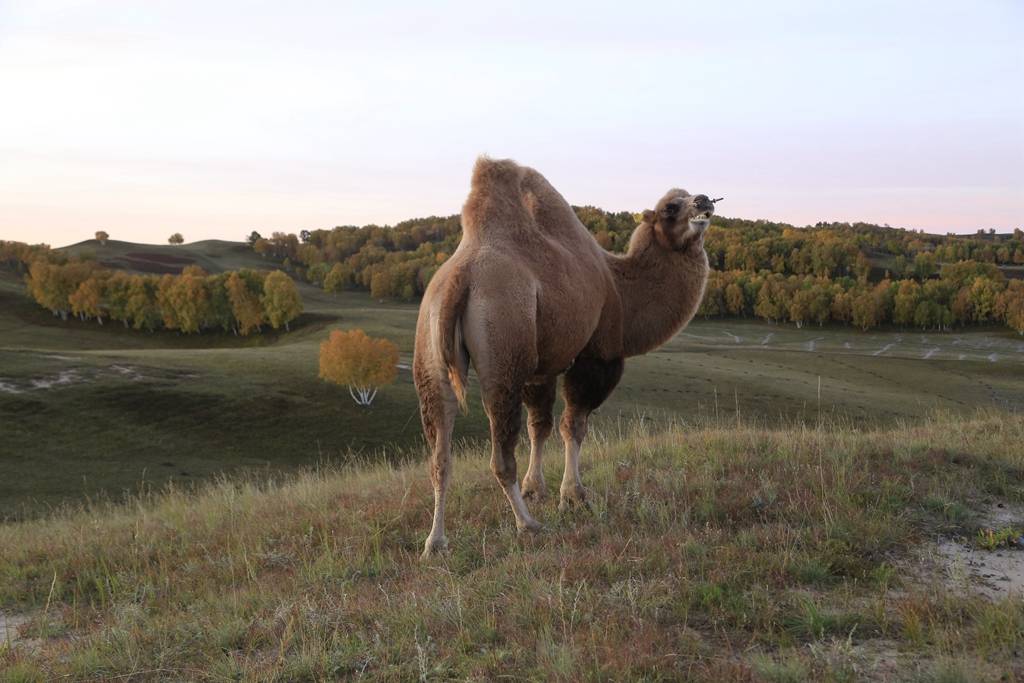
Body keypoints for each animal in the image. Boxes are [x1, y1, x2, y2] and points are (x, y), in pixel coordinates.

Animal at [409, 157, 712, 557]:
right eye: (670, 208)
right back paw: (528, 525)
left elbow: (540, 426)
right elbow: (573, 426)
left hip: (429, 353)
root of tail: (460, 276)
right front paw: (574, 496)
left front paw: (535, 488)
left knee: (440, 453)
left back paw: (435, 541)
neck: (621, 287)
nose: (705, 201)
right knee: (500, 455)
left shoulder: (541, 368)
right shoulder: (595, 356)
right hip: (503, 350)